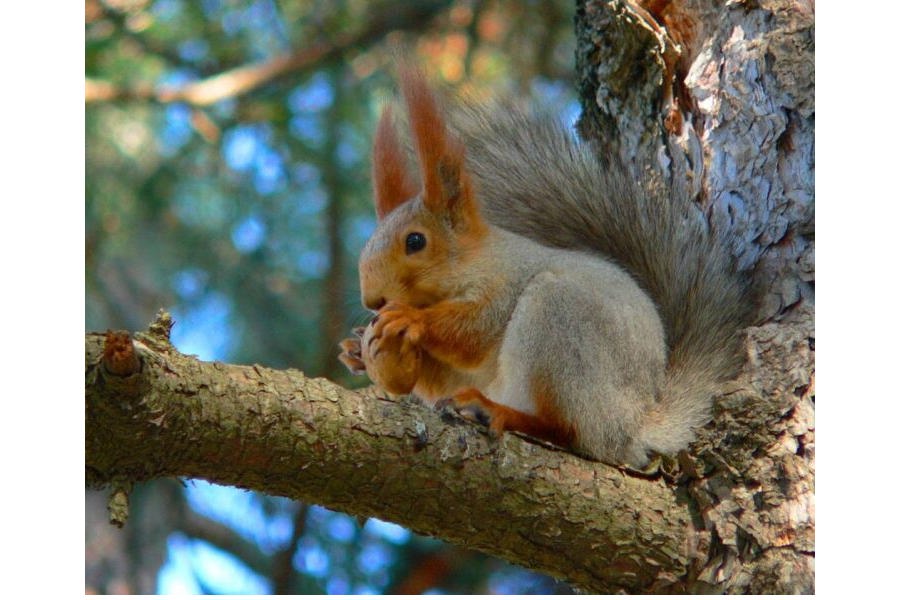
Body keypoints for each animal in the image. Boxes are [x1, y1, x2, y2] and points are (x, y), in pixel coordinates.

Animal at [338, 67, 752, 468]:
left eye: (415, 242)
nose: (373, 301)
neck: (475, 260)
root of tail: (634, 426)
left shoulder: (504, 283)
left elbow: (473, 331)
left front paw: (410, 319)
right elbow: (443, 377)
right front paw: (357, 350)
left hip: (558, 322)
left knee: (567, 430)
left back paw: (499, 412)